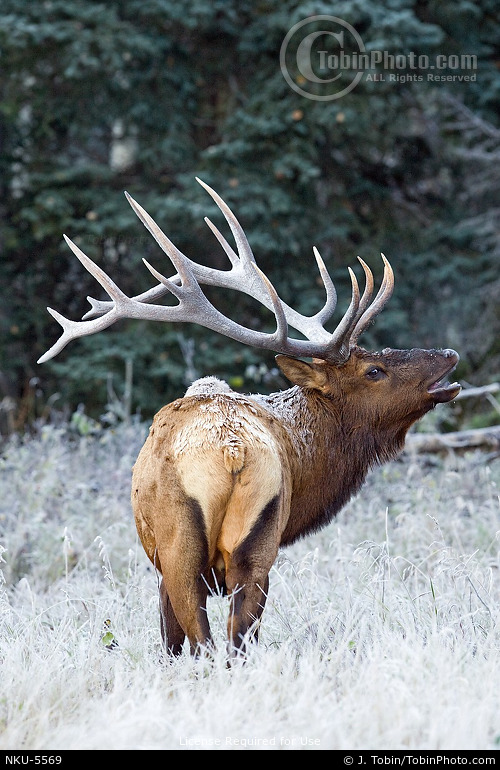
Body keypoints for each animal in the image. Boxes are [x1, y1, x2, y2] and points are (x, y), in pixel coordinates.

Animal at [38, 178, 461, 657]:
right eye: (374, 369)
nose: (449, 354)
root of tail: (232, 452)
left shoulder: (164, 568)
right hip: (255, 553)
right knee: (236, 642)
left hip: (182, 554)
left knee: (205, 646)